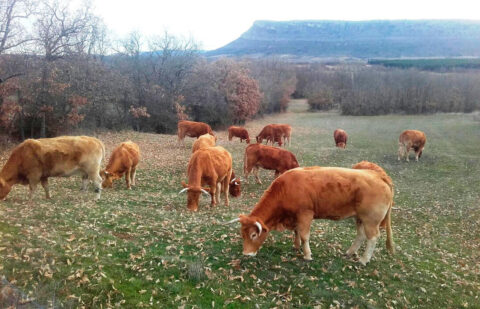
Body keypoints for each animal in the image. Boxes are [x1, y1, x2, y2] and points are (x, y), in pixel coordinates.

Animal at [227, 160, 396, 264]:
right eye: (242, 234)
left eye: (253, 235)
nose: (246, 254)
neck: (285, 188)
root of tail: (379, 175)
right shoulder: (295, 216)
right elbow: (296, 232)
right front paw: (296, 246)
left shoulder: (305, 215)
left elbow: (304, 235)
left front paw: (307, 254)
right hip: (360, 218)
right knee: (361, 235)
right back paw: (349, 252)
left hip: (371, 220)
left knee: (372, 238)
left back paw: (363, 259)